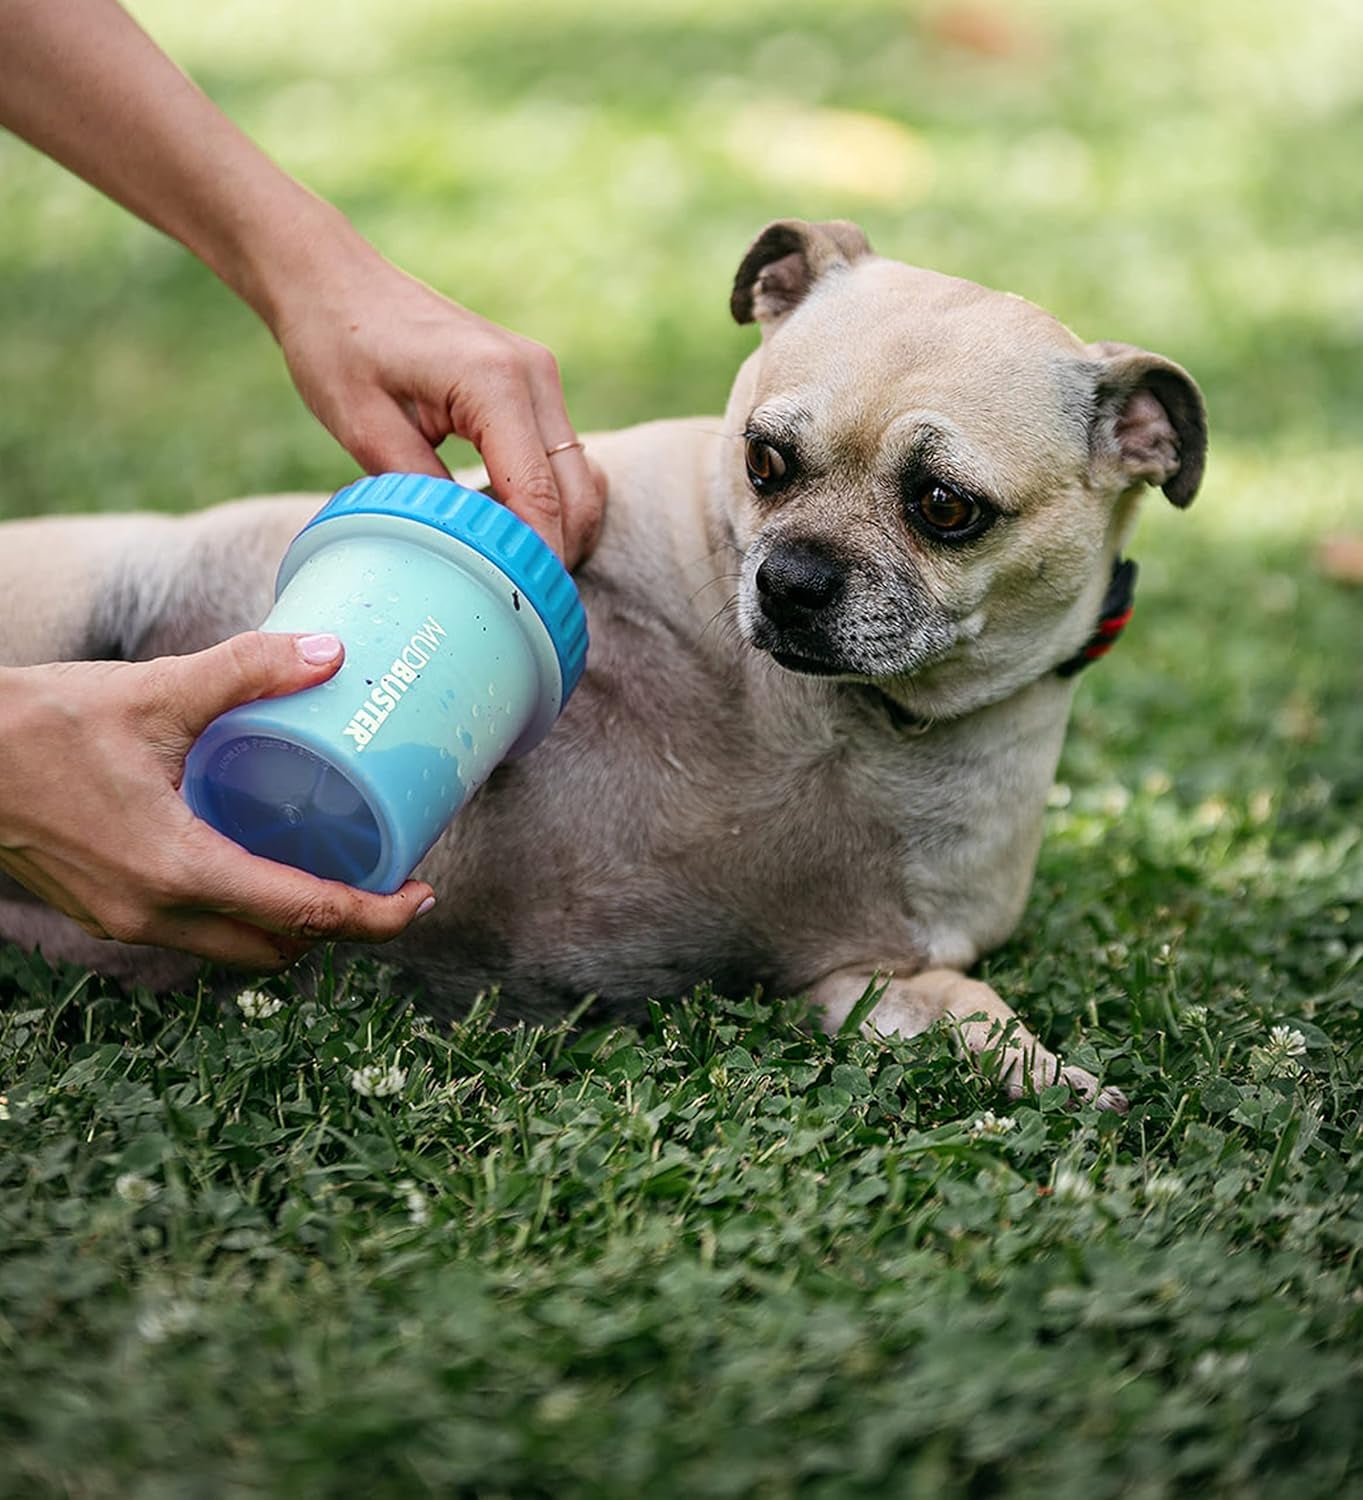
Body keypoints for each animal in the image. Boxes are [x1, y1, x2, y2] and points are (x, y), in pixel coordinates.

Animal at [0, 225, 1205, 1116]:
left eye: (945, 508)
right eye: (765, 462)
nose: (792, 579)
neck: (848, 724)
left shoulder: (878, 981)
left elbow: (982, 1021)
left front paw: (1062, 1076)